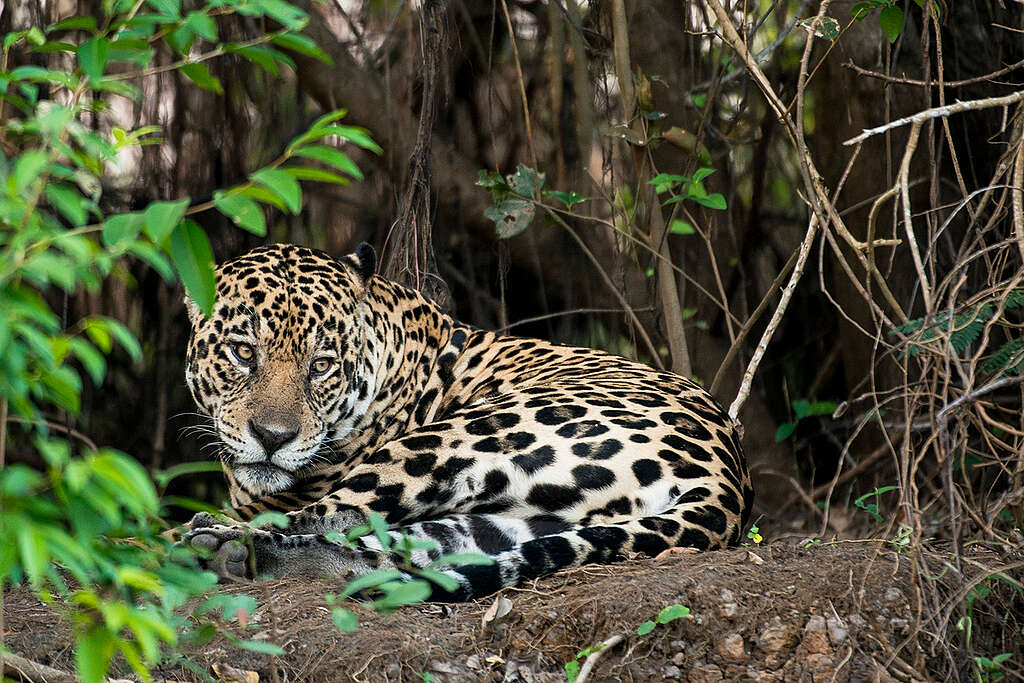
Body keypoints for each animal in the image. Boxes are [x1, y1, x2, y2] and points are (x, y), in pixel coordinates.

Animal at [181, 242, 753, 601]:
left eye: (321, 365)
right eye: (242, 352)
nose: (272, 438)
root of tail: (728, 479)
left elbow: (292, 508)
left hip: (459, 437)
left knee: (332, 517)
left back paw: (217, 543)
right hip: (518, 517)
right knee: (398, 554)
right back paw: (244, 557)